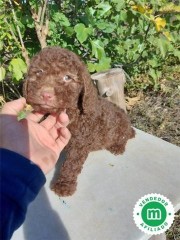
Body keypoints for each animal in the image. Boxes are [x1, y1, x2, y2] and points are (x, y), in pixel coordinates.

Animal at [23, 47, 135, 197]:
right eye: (39, 72)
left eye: (67, 77)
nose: (46, 95)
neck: (71, 112)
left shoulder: (79, 145)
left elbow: (71, 165)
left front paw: (64, 185)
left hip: (121, 127)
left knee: (124, 136)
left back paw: (118, 147)